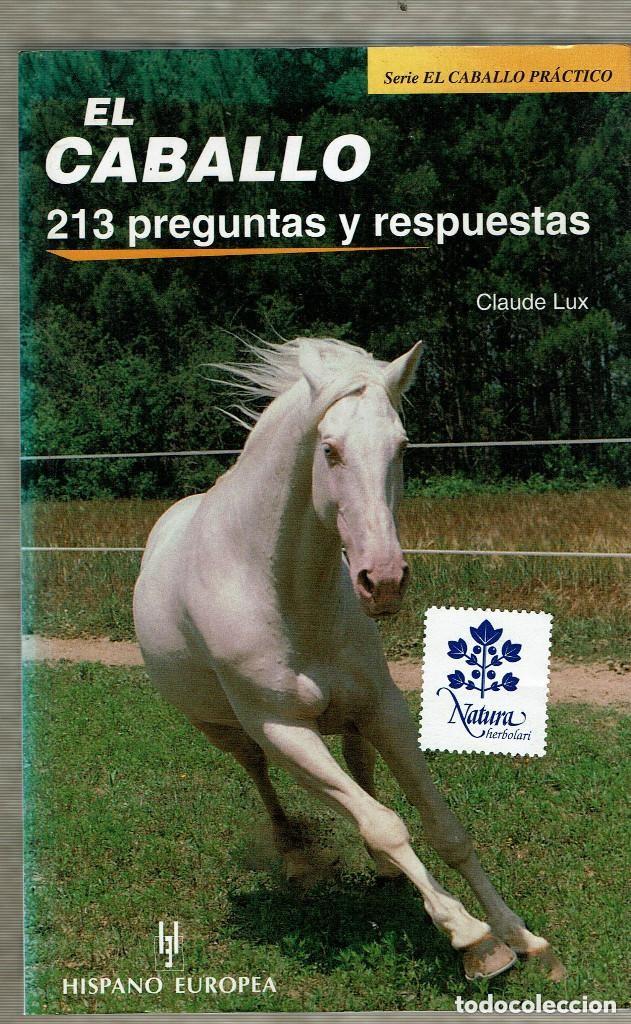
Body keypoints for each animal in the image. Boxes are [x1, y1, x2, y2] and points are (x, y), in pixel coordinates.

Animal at [133, 336, 565, 982]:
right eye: (329, 450)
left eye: (402, 446)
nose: (382, 581)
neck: (287, 594)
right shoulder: (285, 731)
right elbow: (385, 824)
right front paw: (474, 941)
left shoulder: (384, 707)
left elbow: (443, 826)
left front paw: (522, 937)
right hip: (224, 730)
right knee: (261, 775)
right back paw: (296, 861)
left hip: (354, 714)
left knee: (361, 764)